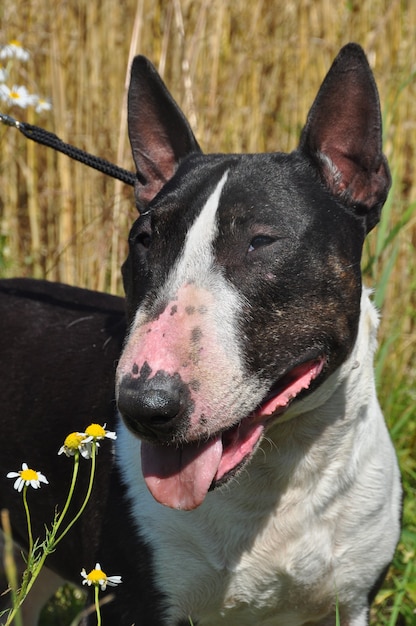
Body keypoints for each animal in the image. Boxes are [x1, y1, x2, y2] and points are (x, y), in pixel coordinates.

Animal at [0, 44, 404, 624]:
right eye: (144, 239)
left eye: (261, 241)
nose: (144, 407)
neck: (279, 472)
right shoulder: (136, 606)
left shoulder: (349, 605)